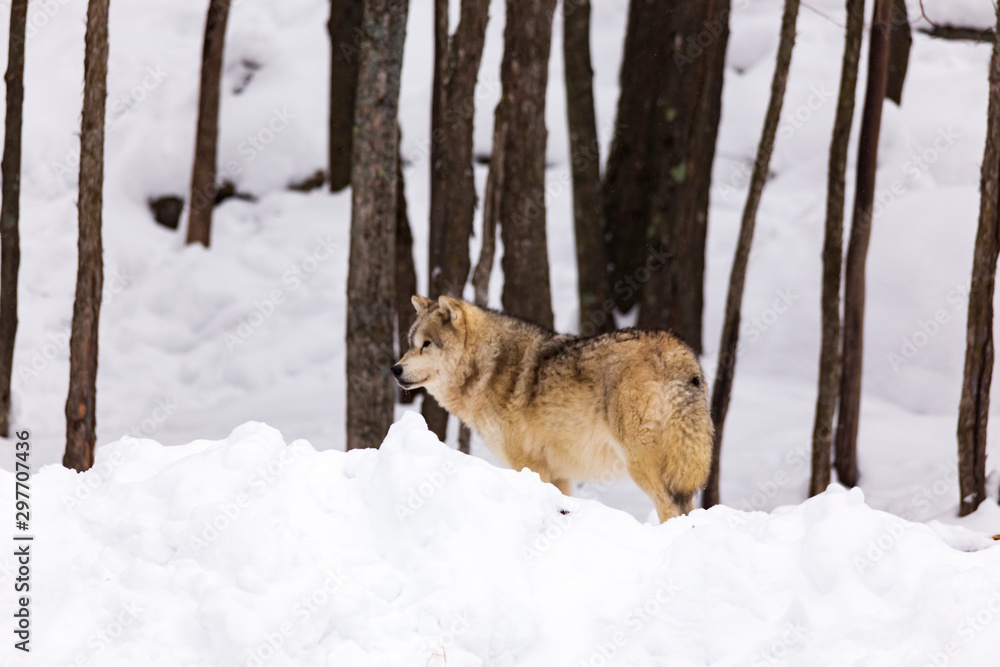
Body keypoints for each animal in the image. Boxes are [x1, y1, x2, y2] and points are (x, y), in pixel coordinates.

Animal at [391, 295, 714, 522]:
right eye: (409, 343)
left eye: (427, 344)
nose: (394, 369)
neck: (488, 368)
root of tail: (675, 351)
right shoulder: (559, 476)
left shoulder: (529, 466)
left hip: (643, 466)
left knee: (671, 508)